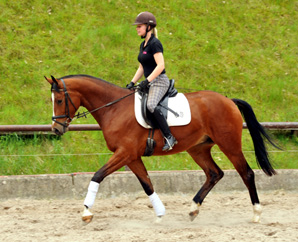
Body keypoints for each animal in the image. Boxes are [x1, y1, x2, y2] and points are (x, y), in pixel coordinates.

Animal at [45, 74, 278, 224]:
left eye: (59, 100)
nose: (56, 129)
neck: (114, 108)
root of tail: (228, 100)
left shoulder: (125, 153)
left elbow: (97, 176)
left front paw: (86, 212)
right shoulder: (131, 157)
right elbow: (147, 184)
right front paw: (160, 213)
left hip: (229, 145)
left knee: (246, 173)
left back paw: (257, 213)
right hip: (198, 149)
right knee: (214, 174)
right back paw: (193, 209)